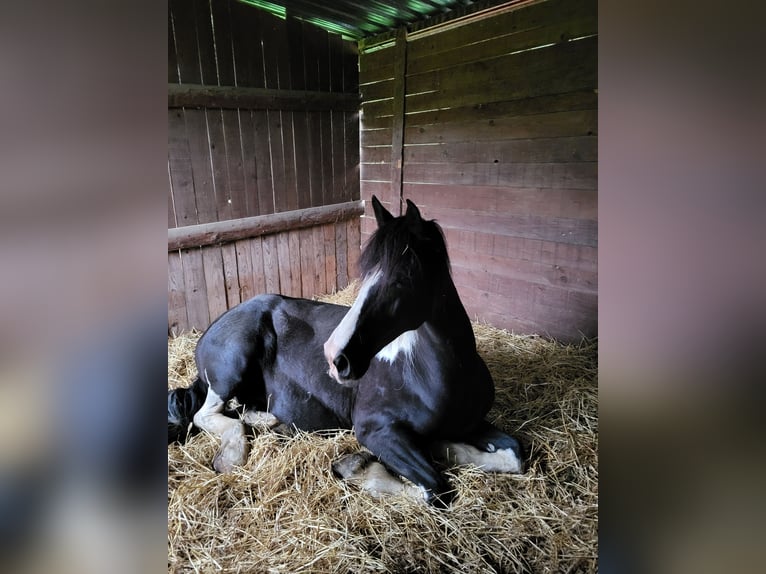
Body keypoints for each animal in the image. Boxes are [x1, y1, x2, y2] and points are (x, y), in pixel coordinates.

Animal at [169, 198, 524, 508]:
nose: (335, 357)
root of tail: (212, 329)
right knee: (206, 413)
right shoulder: (375, 430)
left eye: (402, 278)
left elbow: (515, 454)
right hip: (233, 366)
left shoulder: (473, 423)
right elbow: (435, 488)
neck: (437, 376)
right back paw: (233, 453)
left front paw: (446, 447)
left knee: (241, 409)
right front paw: (359, 469)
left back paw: (267, 420)